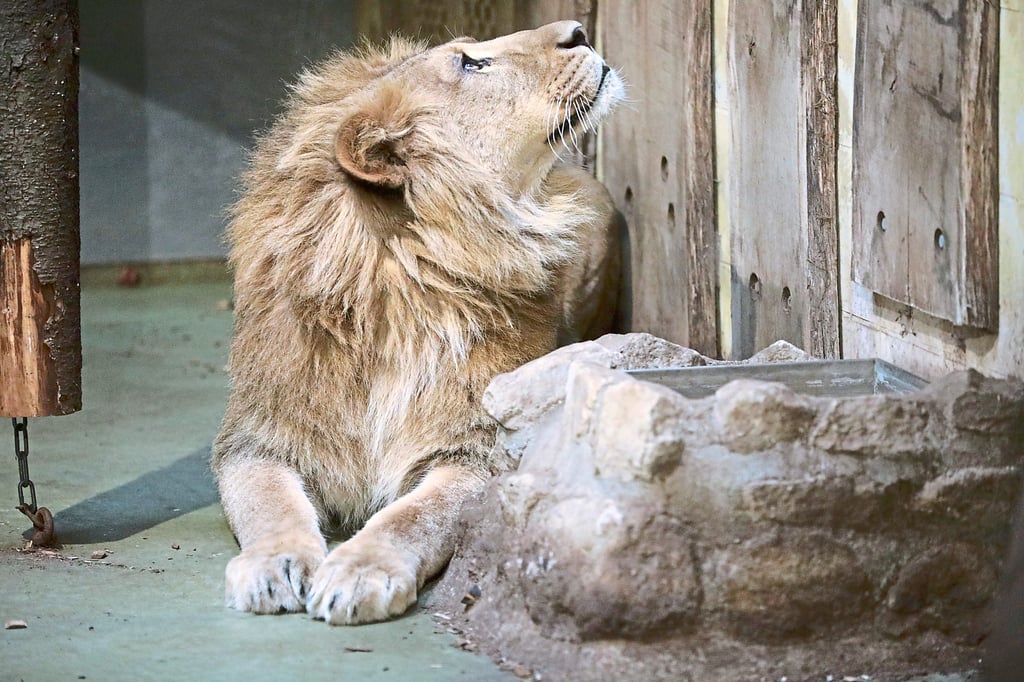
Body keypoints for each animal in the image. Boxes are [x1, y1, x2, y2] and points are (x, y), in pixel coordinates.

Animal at [212, 20, 624, 625]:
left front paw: (360, 571)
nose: (578, 30)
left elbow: (414, 516)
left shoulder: (480, 450)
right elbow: (267, 501)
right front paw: (274, 565)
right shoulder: (258, 436)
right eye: (470, 63)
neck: (399, 289)